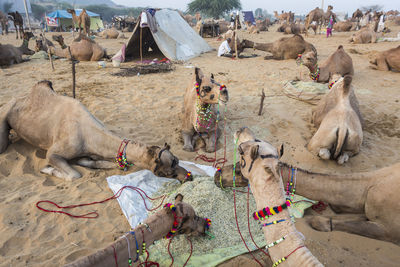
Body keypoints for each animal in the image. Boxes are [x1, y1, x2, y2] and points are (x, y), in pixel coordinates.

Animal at [0, 80, 191, 183]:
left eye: (176, 159)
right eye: (166, 173)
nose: (188, 176)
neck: (89, 135)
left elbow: (101, 163)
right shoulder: (54, 152)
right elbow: (74, 174)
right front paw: (47, 169)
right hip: (5, 115)